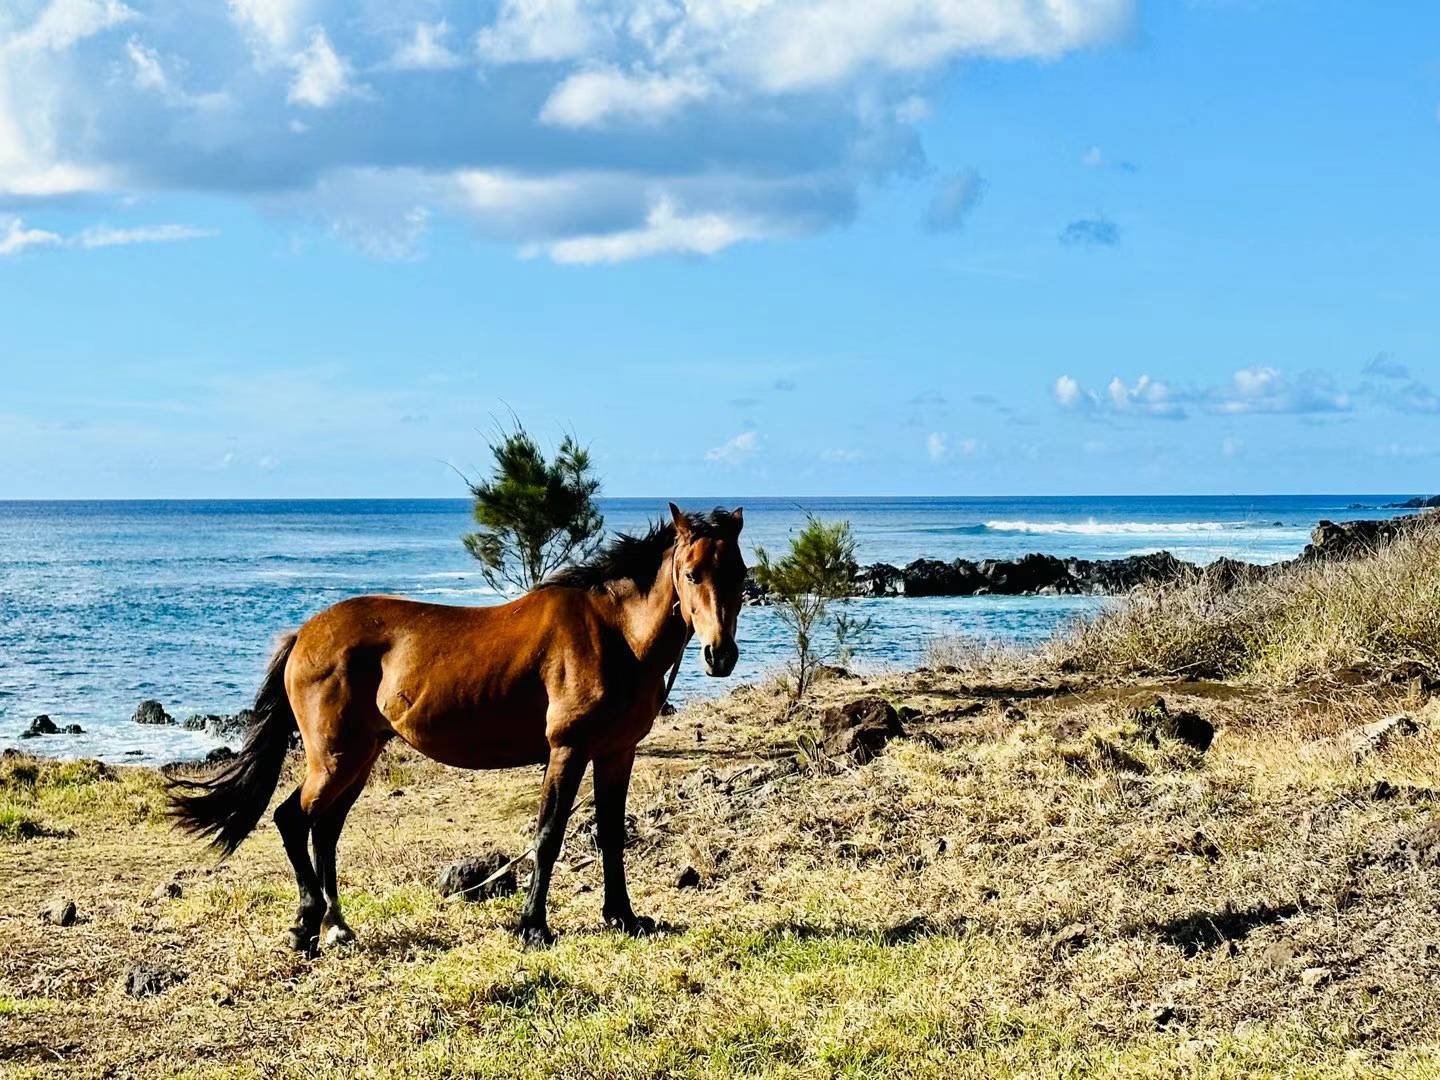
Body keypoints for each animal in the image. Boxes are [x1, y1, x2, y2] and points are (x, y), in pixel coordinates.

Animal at [171, 504, 743, 950]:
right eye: (691, 573)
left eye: (737, 574)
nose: (720, 655)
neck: (612, 634)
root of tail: (304, 635)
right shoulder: (568, 750)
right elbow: (549, 835)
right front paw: (533, 927)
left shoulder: (616, 753)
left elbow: (611, 834)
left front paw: (622, 916)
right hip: (333, 758)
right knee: (293, 820)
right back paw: (307, 925)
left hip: (358, 758)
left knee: (325, 831)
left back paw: (336, 925)